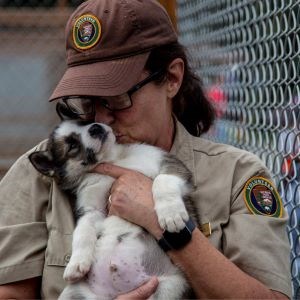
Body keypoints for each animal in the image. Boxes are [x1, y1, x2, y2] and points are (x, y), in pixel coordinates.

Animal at [29, 102, 199, 298]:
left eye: (85, 122)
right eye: (72, 145)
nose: (95, 128)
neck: (112, 159)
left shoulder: (169, 163)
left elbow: (162, 181)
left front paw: (171, 214)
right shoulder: (92, 210)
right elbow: (82, 232)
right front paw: (76, 263)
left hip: (171, 287)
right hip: (73, 292)